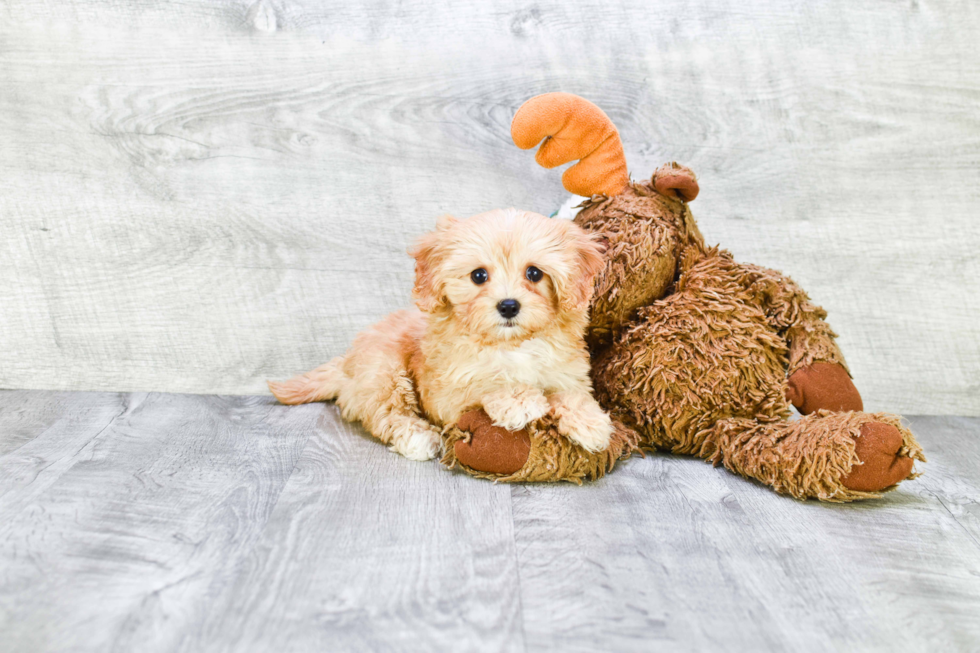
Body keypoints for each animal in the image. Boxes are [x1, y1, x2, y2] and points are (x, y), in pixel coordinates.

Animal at [268, 208, 612, 458]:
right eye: (478, 276)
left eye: (534, 273)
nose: (508, 306)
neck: (510, 345)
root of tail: (347, 362)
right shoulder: (446, 392)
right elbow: (484, 383)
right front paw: (519, 399)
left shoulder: (568, 373)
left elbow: (569, 394)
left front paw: (590, 421)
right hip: (385, 373)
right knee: (387, 413)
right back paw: (418, 438)